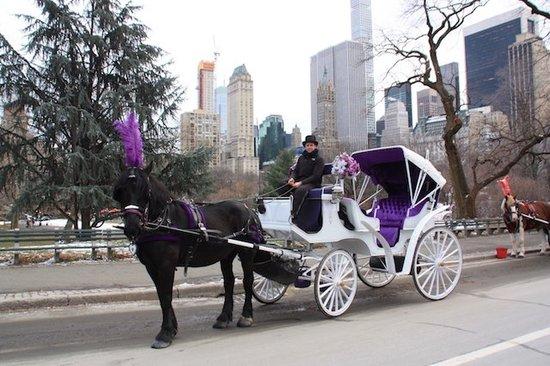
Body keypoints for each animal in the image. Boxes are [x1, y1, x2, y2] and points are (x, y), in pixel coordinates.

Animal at [113, 166, 264, 348]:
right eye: (121, 191)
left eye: (145, 191)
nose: (132, 227)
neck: (164, 222)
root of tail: (248, 209)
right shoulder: (151, 267)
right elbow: (161, 295)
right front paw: (173, 328)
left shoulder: (166, 265)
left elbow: (166, 296)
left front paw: (165, 333)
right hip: (227, 254)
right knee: (229, 282)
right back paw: (224, 317)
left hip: (246, 252)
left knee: (248, 281)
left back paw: (246, 316)